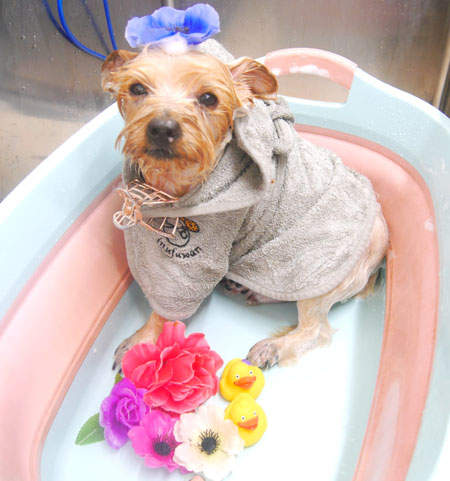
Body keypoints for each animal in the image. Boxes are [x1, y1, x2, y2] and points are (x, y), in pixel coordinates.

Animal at [102, 40, 389, 370]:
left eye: (209, 98)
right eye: (137, 88)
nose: (162, 128)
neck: (175, 180)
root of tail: (382, 247)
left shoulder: (198, 254)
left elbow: (168, 304)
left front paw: (141, 339)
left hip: (311, 265)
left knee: (314, 329)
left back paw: (273, 346)